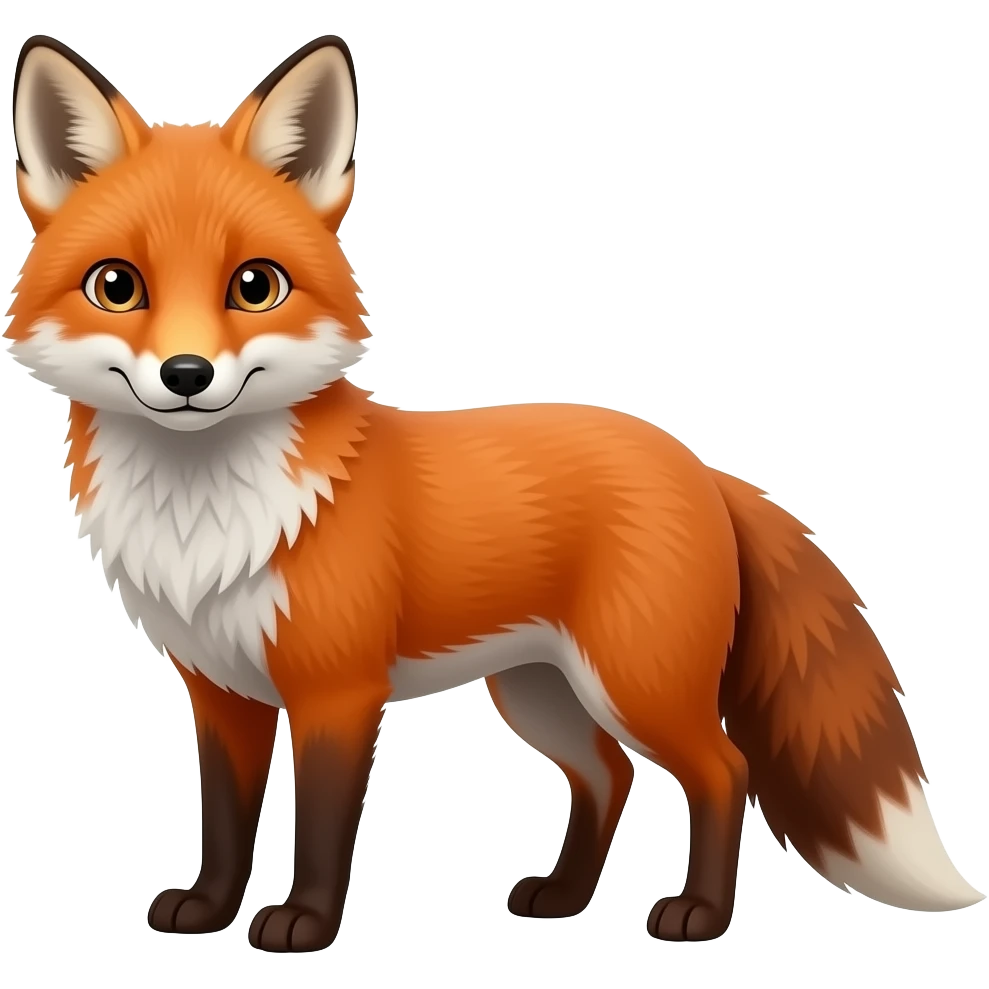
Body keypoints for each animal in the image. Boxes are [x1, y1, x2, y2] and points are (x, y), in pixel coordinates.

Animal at [5, 32, 983, 953]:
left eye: (254, 286)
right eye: (117, 286)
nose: (186, 375)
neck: (204, 515)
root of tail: (699, 464)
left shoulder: (337, 691)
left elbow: (320, 828)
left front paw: (305, 924)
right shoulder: (222, 690)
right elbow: (224, 821)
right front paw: (209, 911)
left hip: (635, 681)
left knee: (723, 771)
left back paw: (699, 913)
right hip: (541, 691)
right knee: (609, 776)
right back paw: (564, 896)